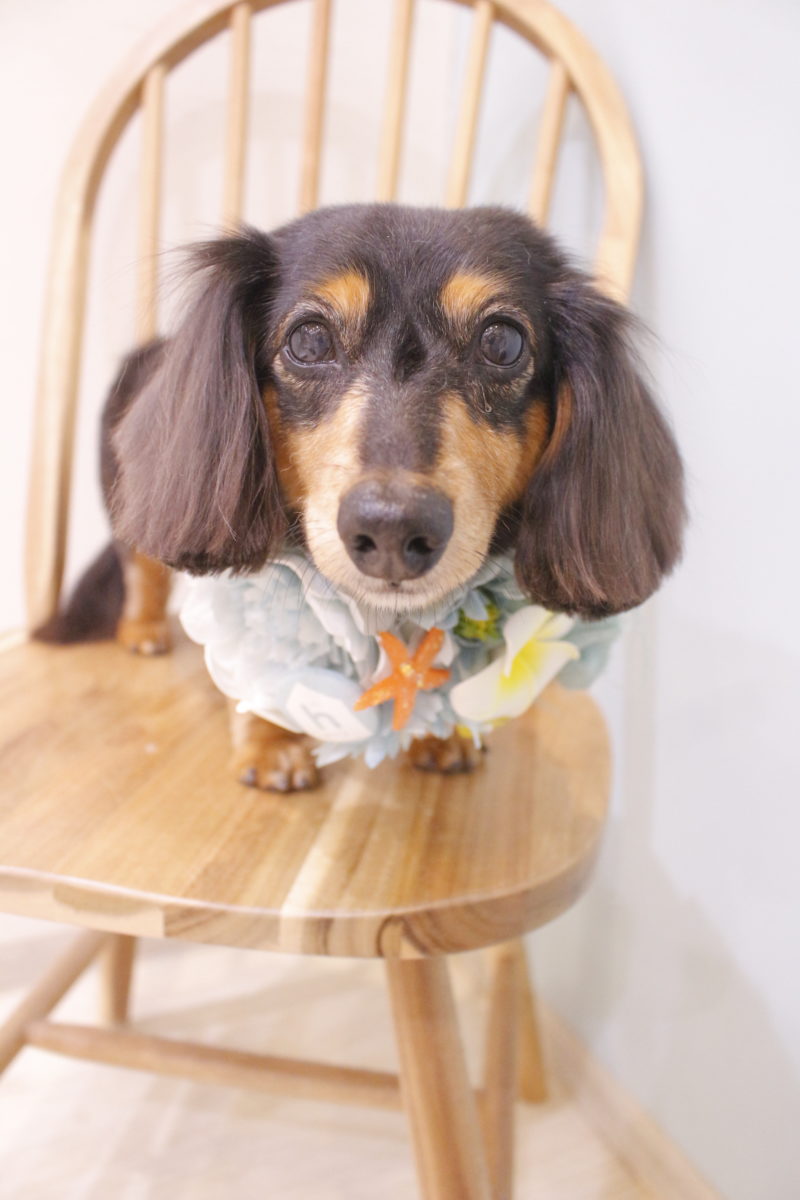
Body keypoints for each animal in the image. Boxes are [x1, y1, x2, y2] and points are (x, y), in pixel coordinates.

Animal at [37, 204, 685, 791]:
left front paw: (440, 734)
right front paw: (270, 744)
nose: (393, 530)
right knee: (141, 565)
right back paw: (142, 630)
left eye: (503, 342)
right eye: (309, 339)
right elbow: (260, 667)